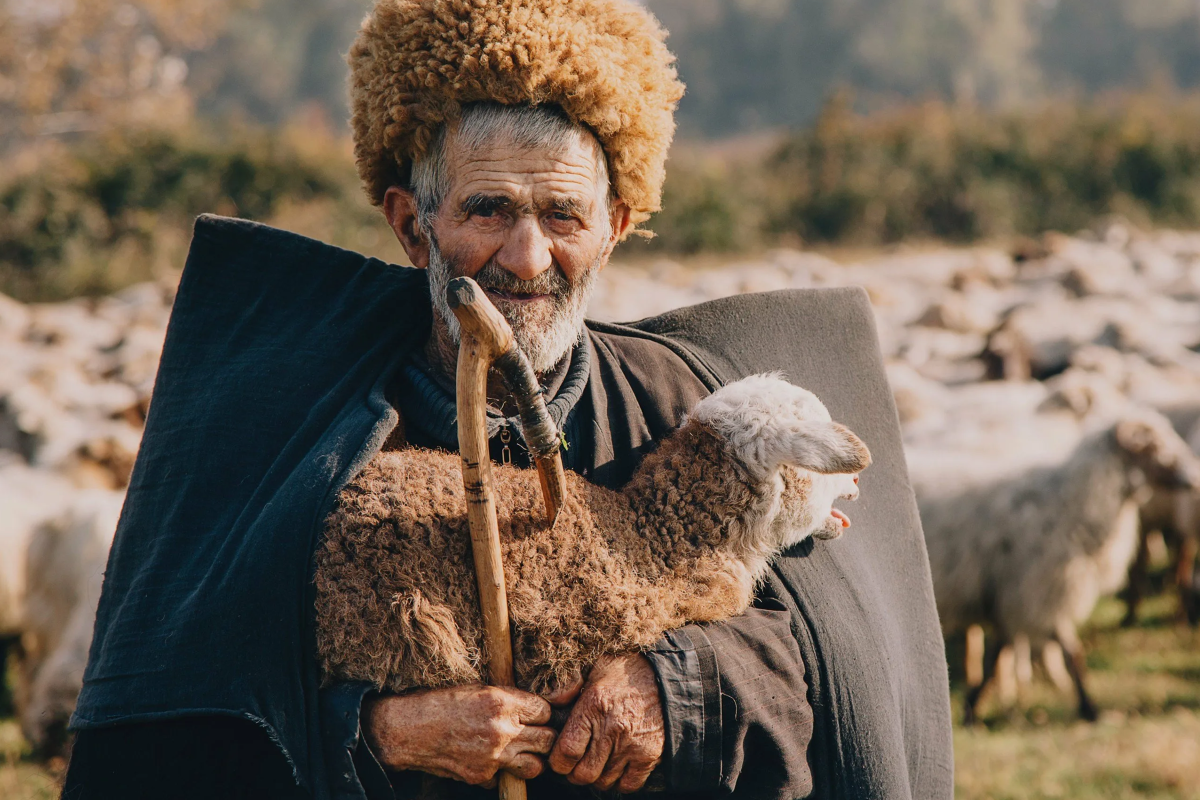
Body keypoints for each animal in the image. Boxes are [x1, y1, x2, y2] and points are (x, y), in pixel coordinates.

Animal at [916, 410, 1200, 724]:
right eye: (1153, 446)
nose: (1192, 478)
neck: (1069, 502)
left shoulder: (1015, 596)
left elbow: (999, 654)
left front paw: (972, 706)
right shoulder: (1040, 592)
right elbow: (1070, 651)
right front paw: (1089, 708)